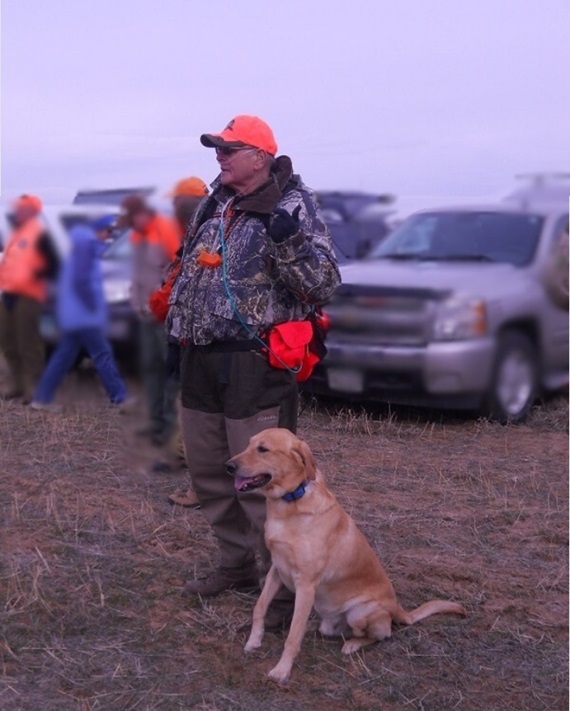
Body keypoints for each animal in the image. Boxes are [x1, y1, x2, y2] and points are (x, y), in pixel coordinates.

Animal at [224, 428, 464, 684]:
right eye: (248, 445)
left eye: (263, 449)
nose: (228, 466)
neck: (291, 501)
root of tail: (398, 609)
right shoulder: (277, 570)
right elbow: (259, 608)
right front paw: (254, 641)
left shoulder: (306, 584)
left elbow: (292, 637)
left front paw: (282, 670)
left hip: (360, 613)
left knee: (383, 634)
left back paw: (353, 644)